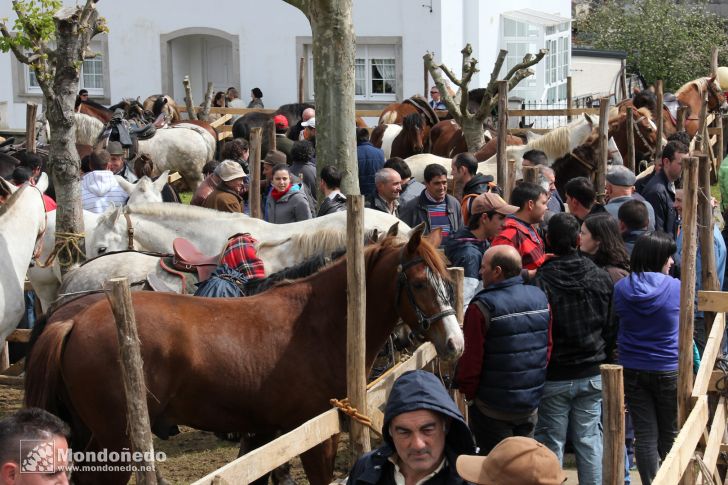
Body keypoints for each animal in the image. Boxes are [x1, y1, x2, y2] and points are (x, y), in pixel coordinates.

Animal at [27, 226, 466, 484]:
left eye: (445, 278)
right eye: (419, 282)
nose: (455, 343)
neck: (316, 322)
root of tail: (73, 319)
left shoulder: (265, 434)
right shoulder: (313, 435)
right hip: (115, 441)